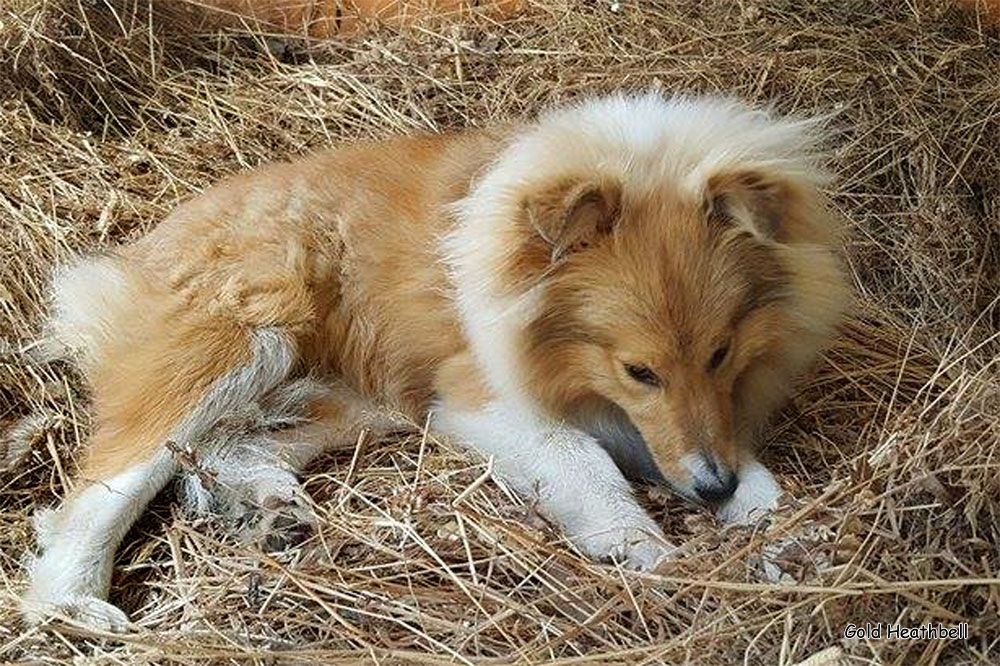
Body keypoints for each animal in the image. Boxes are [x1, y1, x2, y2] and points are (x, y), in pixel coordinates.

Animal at [21, 93, 852, 628]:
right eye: (637, 370)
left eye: (721, 352)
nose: (710, 491)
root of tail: (135, 247)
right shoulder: (486, 399)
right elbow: (590, 472)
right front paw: (660, 559)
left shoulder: (679, 423)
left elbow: (758, 482)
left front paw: (789, 544)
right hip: (240, 343)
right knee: (100, 490)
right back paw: (72, 605)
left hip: (363, 397)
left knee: (230, 443)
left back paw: (269, 510)